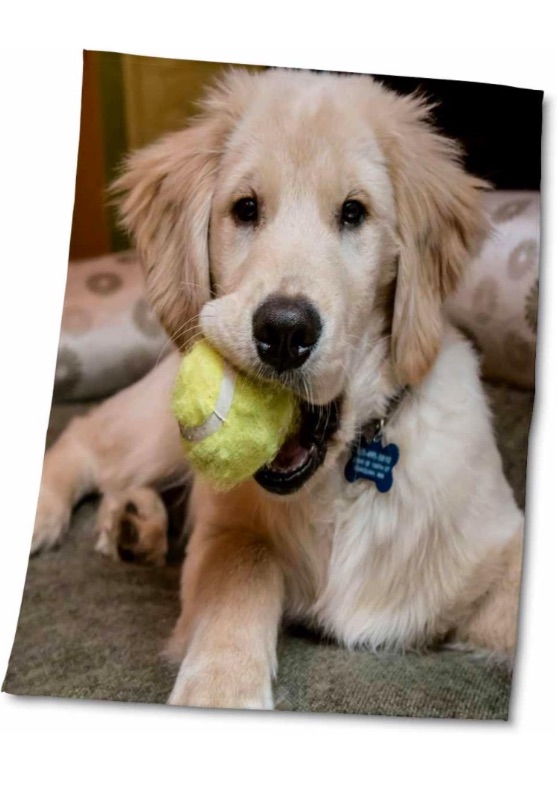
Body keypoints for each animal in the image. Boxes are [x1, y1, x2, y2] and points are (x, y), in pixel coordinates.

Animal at [32, 67, 524, 708]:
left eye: (353, 213)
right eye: (245, 208)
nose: (284, 331)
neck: (337, 481)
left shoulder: (493, 545)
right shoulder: (226, 530)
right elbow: (246, 564)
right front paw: (221, 689)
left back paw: (135, 524)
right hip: (152, 429)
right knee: (86, 438)